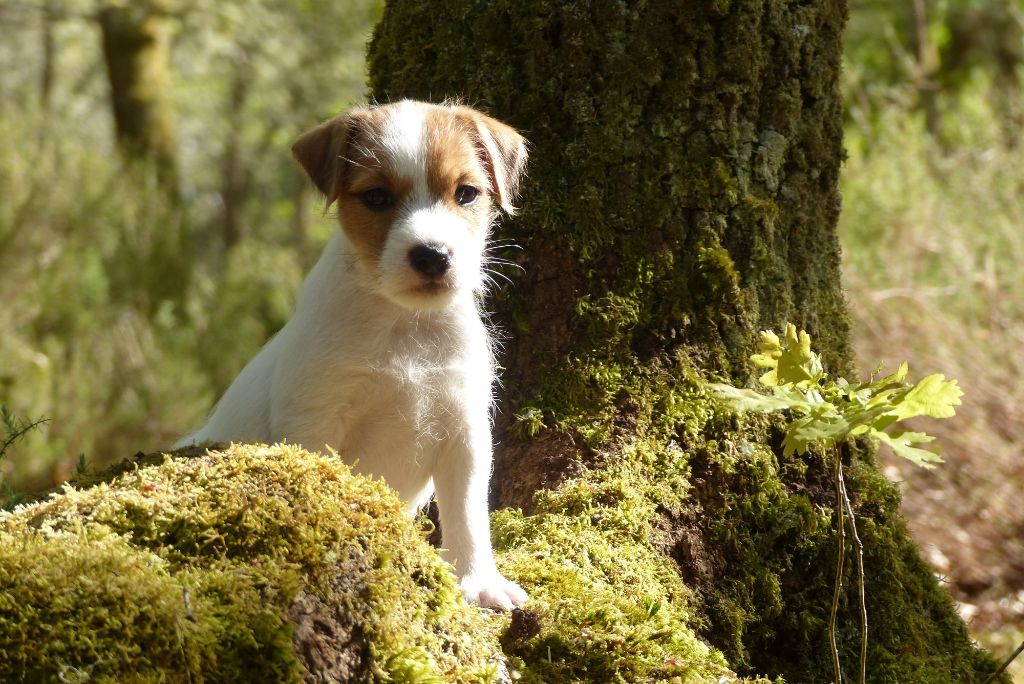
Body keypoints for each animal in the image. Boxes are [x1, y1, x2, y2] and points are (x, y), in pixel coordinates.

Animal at [176, 100, 528, 610]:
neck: (403, 323)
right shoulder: (315, 420)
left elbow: (467, 514)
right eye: (377, 197)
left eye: (466, 193)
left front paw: (479, 581)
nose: (432, 255)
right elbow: (323, 488)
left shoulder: (464, 430)